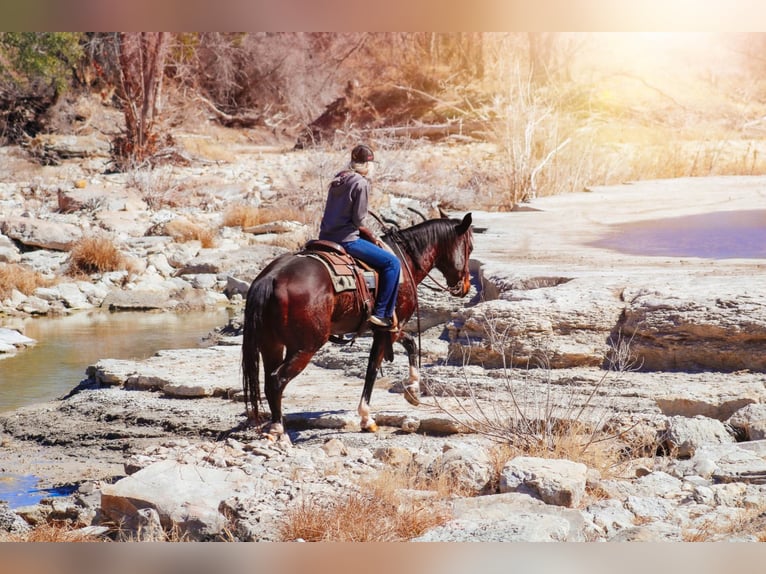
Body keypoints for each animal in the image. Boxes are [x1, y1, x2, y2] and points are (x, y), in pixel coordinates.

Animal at [242, 214, 474, 438]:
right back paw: (277, 429)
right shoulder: (388, 328)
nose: (465, 286)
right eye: (470, 247)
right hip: (305, 347)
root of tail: (271, 278)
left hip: (271, 345)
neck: (404, 261)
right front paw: (367, 418)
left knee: (268, 380)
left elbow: (410, 344)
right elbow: (373, 368)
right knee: (277, 380)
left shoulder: (390, 328)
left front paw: (413, 392)